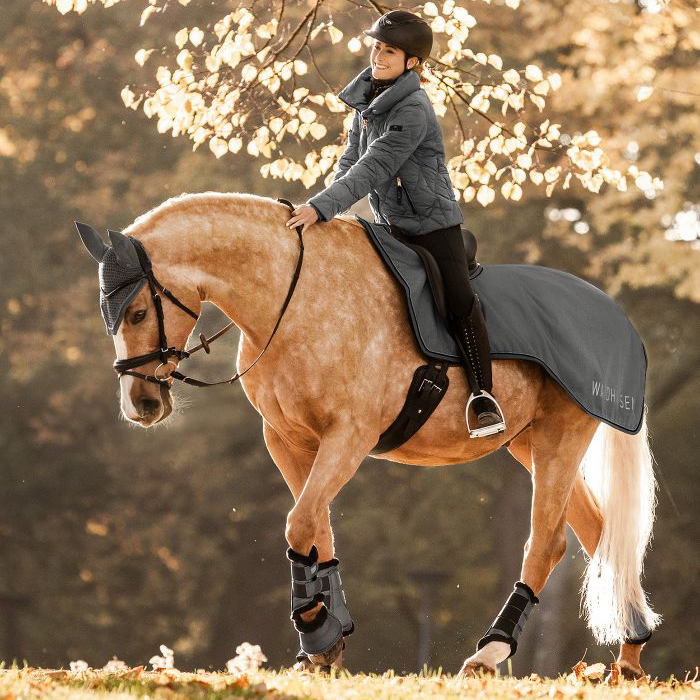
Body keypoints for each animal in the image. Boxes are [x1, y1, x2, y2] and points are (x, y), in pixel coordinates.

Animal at [76, 190, 660, 680]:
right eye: (108, 316)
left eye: (138, 311)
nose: (141, 405)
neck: (293, 299)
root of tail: (617, 319)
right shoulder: (289, 440)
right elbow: (316, 531)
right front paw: (326, 641)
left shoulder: (349, 438)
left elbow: (299, 524)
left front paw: (316, 629)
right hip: (528, 443)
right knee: (597, 534)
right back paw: (630, 653)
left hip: (561, 436)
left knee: (548, 542)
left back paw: (491, 652)